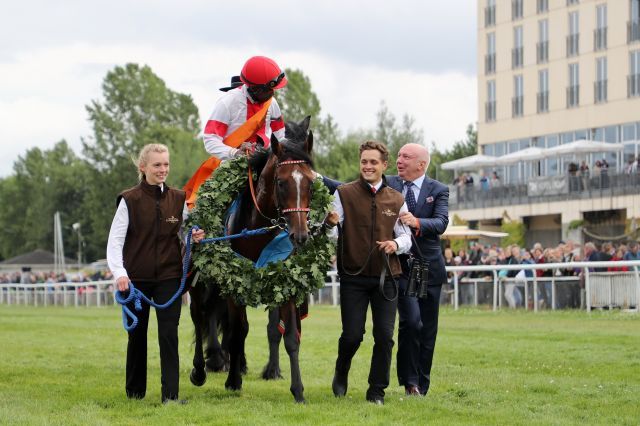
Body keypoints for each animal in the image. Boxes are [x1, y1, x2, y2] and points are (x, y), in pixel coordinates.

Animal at [190, 115, 320, 402]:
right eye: (281, 182)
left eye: (310, 182)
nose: (300, 235)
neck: (258, 227)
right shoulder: (234, 283)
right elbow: (239, 330)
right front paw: (233, 380)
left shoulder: (284, 281)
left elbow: (288, 335)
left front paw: (297, 389)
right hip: (200, 280)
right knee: (200, 315)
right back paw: (204, 368)